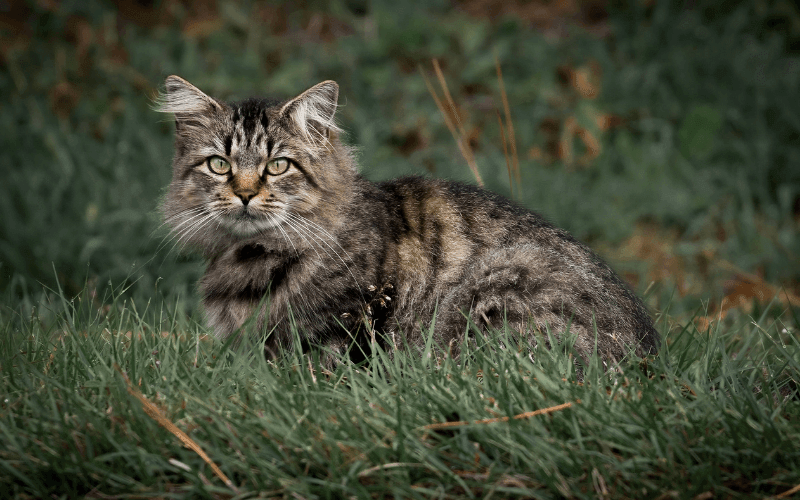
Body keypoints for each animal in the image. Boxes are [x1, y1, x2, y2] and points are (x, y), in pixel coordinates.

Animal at [155, 76, 656, 370]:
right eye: (219, 164)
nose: (244, 193)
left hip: (501, 284)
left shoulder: (344, 331)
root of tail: (646, 363)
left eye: (278, 166)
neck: (249, 259)